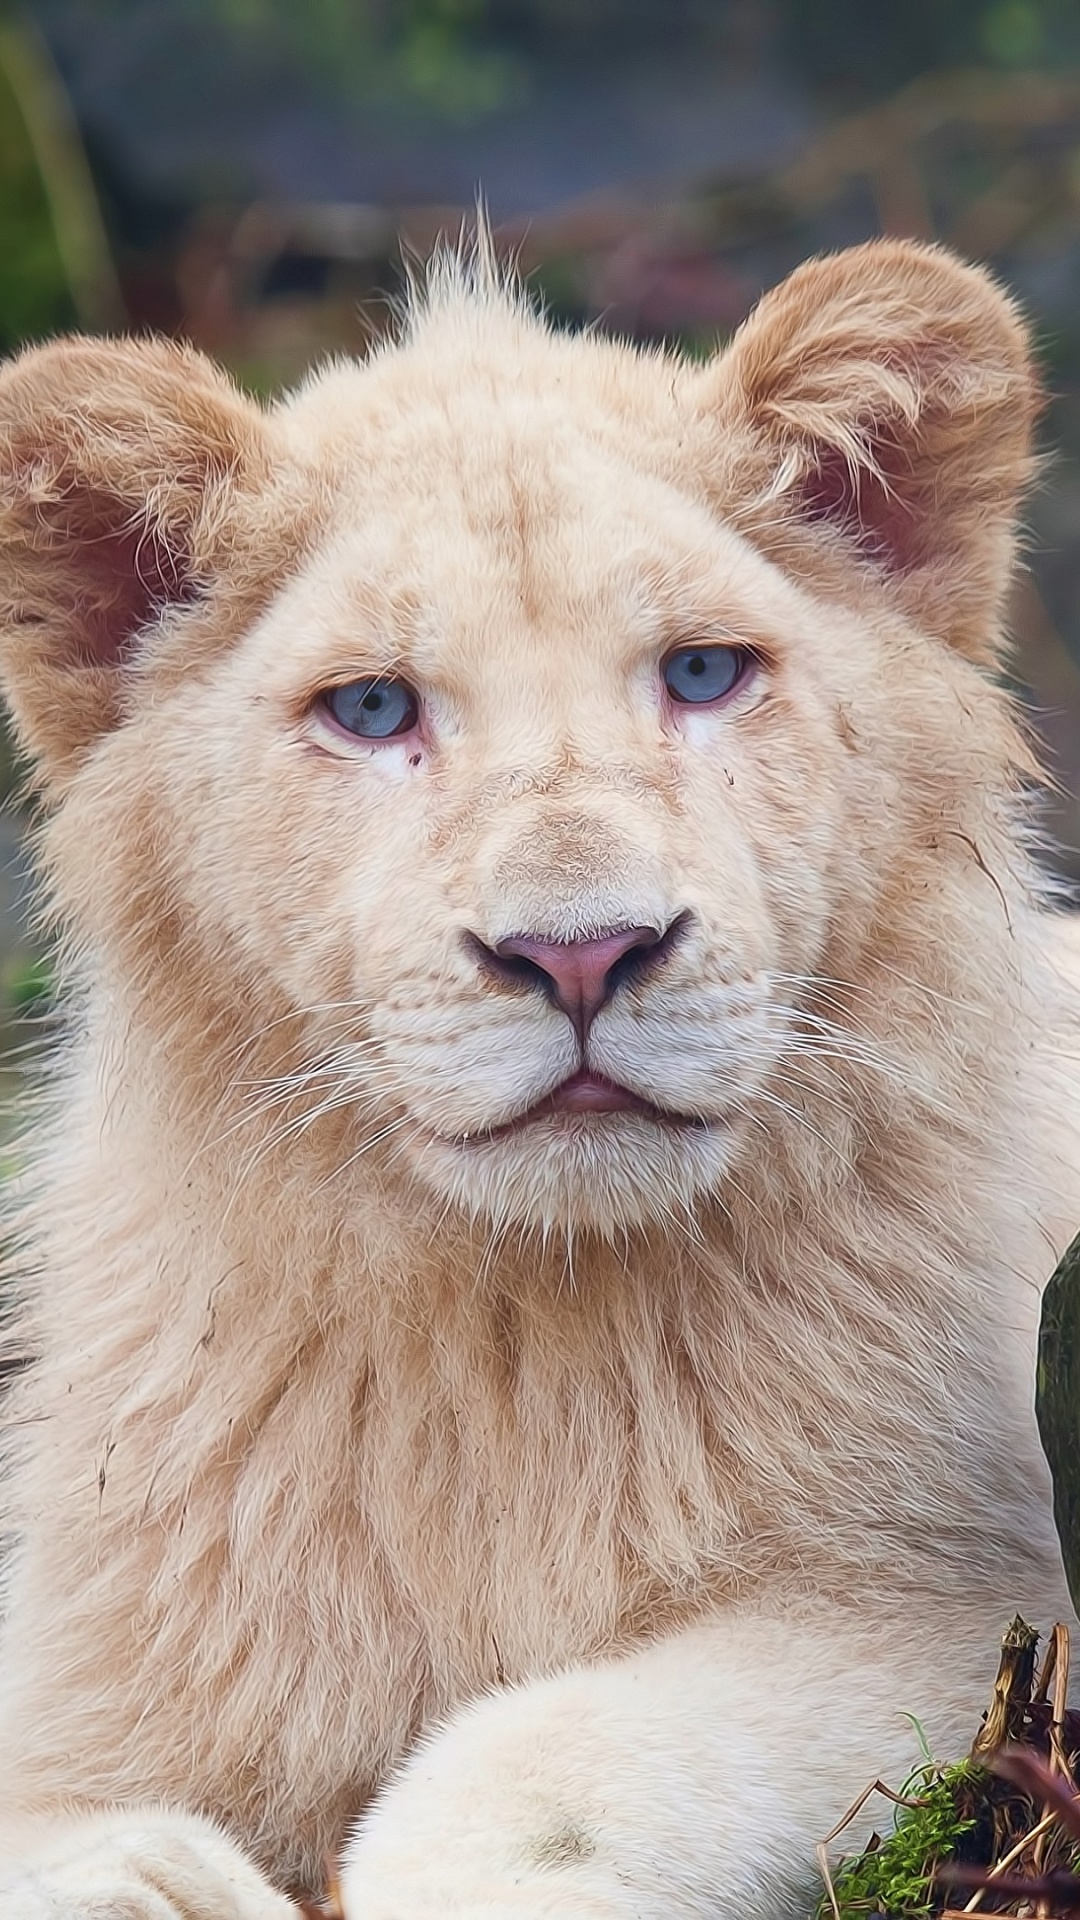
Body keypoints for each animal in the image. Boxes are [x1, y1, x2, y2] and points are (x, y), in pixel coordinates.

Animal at [0, 234, 1076, 1919]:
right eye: (373, 708)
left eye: (702, 673)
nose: (582, 954)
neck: (520, 1334)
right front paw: (143, 1877)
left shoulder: (958, 1586)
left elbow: (549, 1762)